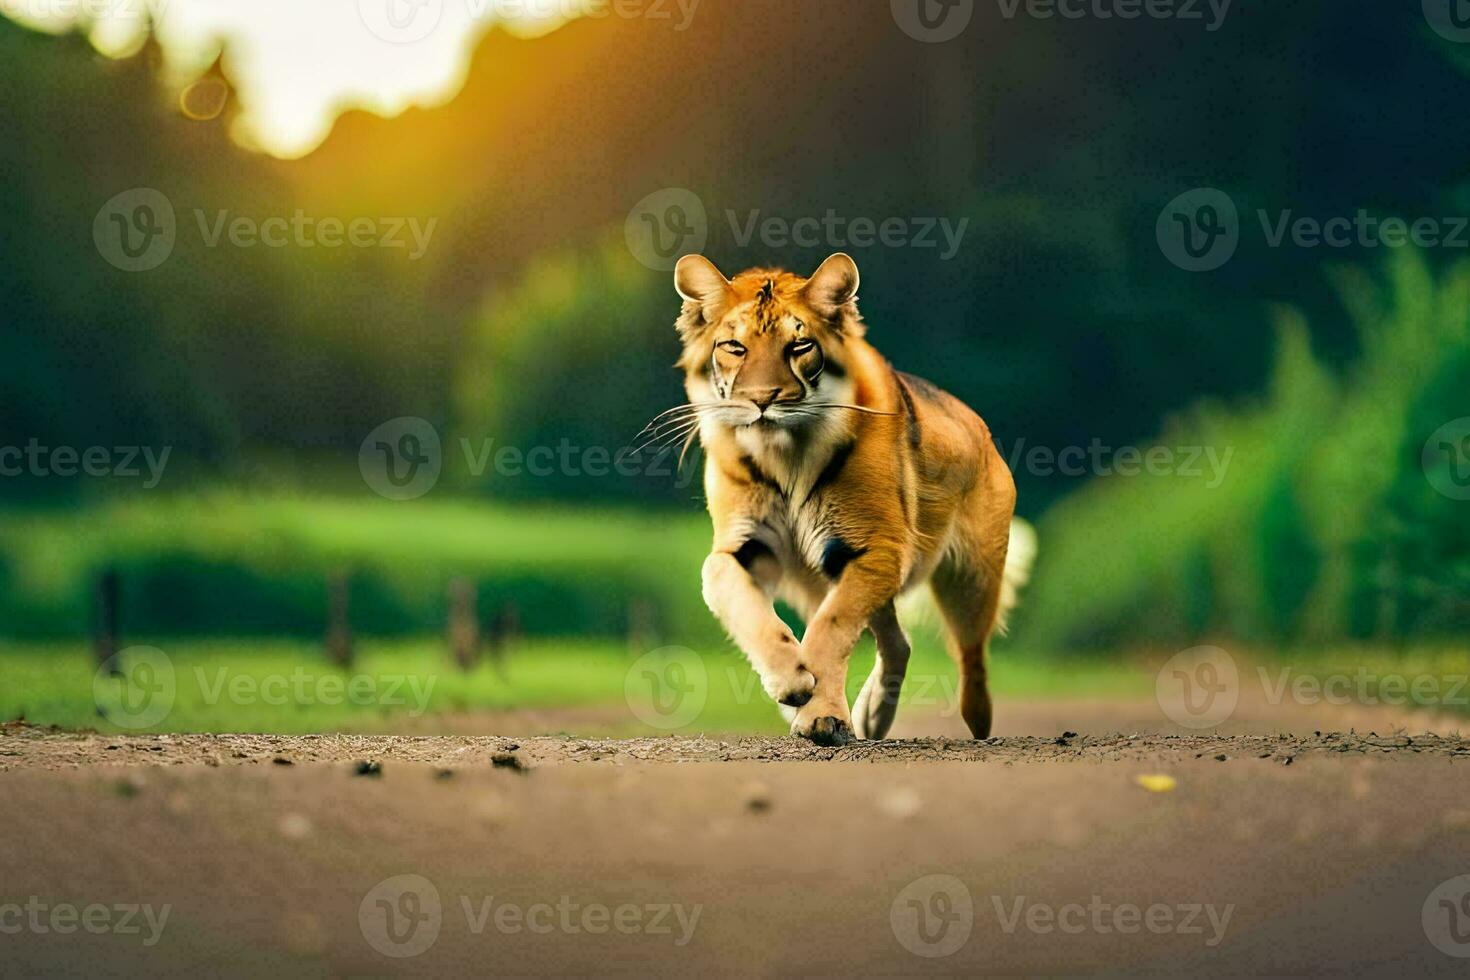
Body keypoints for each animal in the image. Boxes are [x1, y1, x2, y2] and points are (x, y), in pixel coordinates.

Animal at [667, 252, 1034, 743]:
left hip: (970, 579)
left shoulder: (873, 549)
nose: (762, 399)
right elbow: (739, 598)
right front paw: (792, 684)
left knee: (970, 655)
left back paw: (977, 722)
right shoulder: (745, 546)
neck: (785, 455)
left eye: (799, 346)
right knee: (899, 642)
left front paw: (819, 712)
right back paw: (871, 716)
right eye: (735, 347)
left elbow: (831, 628)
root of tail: (981, 426)